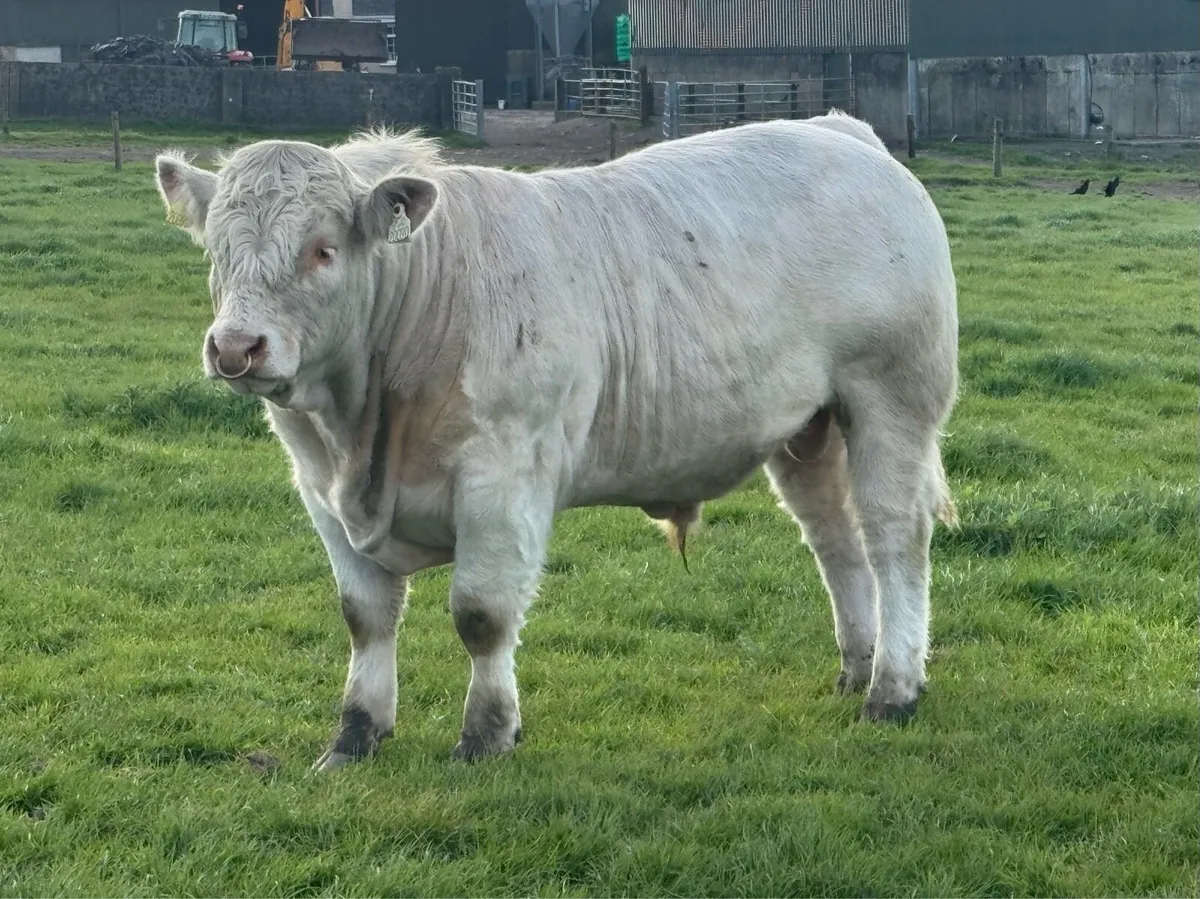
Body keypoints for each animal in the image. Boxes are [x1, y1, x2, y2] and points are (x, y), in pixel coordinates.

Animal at [152, 117, 959, 770]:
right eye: (216, 251)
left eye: (322, 250)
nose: (236, 347)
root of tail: (841, 131)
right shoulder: (321, 489)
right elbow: (365, 616)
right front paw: (355, 735)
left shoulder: (503, 478)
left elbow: (480, 614)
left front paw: (486, 734)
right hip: (807, 432)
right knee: (836, 541)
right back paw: (857, 667)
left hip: (890, 399)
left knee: (894, 538)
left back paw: (893, 688)